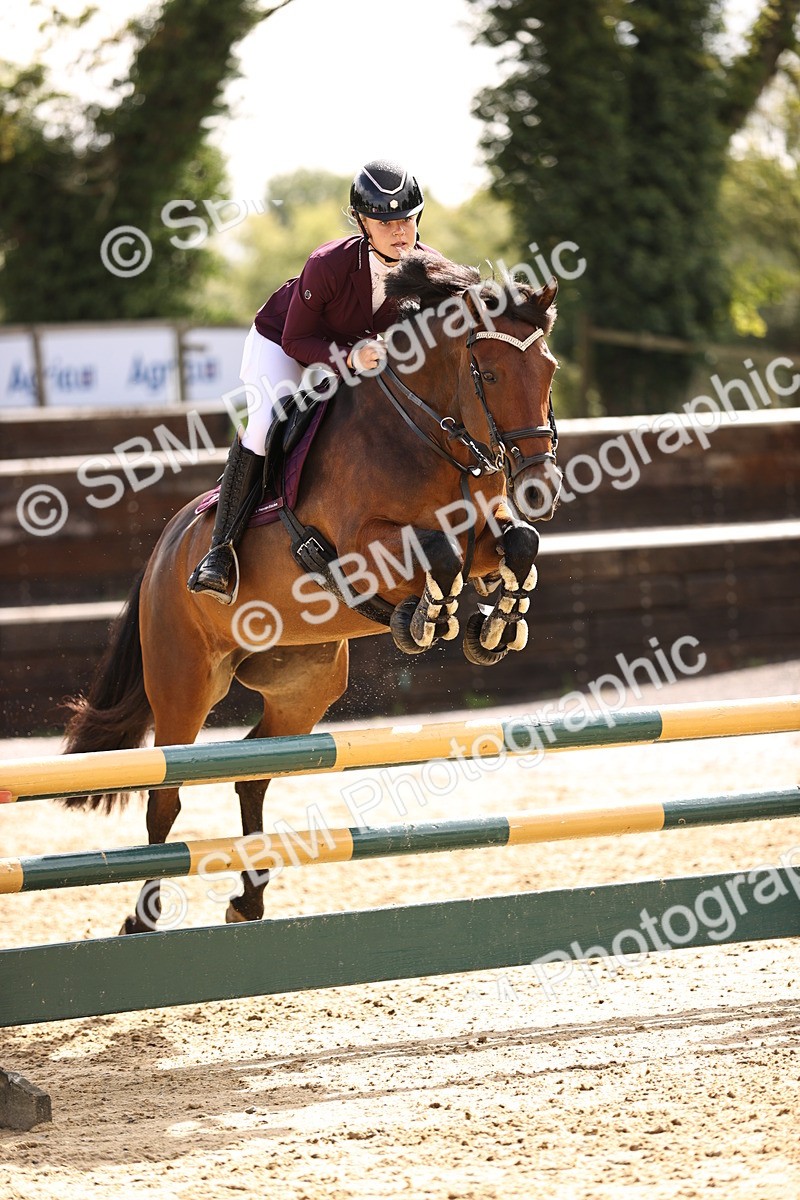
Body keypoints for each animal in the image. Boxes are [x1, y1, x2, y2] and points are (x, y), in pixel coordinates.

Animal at [63, 251, 561, 934]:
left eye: (549, 370)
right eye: (486, 371)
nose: (541, 486)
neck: (430, 434)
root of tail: (165, 550)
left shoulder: (485, 530)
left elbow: (518, 546)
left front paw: (494, 624)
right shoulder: (361, 549)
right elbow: (435, 555)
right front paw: (426, 618)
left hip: (304, 686)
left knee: (252, 771)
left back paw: (248, 900)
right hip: (184, 682)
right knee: (166, 793)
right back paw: (143, 919)